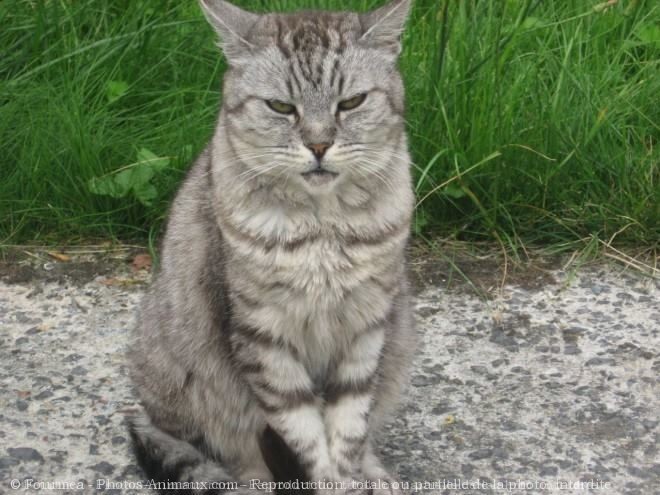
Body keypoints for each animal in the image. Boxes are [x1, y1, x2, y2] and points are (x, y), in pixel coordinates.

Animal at [128, 0, 416, 494]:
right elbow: (304, 434)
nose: (319, 144)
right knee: (232, 454)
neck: (323, 227)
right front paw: (326, 480)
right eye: (281, 107)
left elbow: (349, 427)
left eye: (352, 102)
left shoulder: (366, 326)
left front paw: (352, 475)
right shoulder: (263, 332)